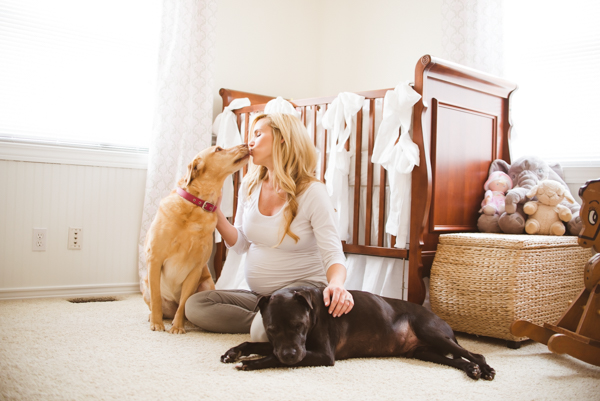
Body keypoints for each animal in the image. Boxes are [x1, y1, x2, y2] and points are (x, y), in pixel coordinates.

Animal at [143, 143, 248, 332]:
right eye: (218, 149)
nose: (245, 144)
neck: (196, 205)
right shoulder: (154, 259)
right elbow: (156, 297)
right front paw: (156, 323)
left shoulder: (196, 268)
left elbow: (184, 303)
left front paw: (177, 327)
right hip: (145, 284)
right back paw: (154, 317)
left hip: (207, 284)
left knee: (181, 307)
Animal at [223, 286, 494, 376]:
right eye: (271, 329)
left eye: (299, 325)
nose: (290, 355)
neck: (313, 313)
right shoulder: (280, 345)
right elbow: (253, 345)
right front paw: (232, 353)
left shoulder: (323, 355)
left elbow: (272, 358)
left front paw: (250, 363)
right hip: (424, 352)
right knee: (457, 360)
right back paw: (472, 370)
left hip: (430, 331)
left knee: (475, 354)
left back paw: (485, 369)